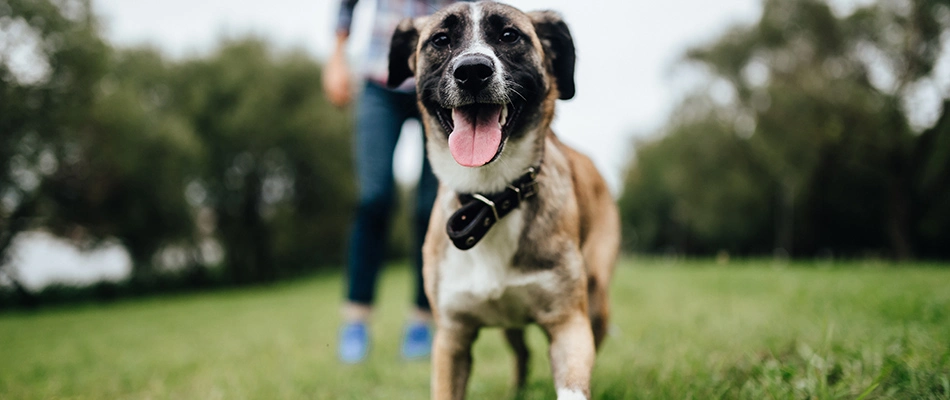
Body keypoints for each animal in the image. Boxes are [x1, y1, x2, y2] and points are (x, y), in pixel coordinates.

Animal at [388, 1, 624, 398]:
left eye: (510, 35)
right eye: (441, 39)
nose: (472, 71)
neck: (491, 198)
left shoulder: (568, 325)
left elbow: (573, 383)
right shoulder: (451, 339)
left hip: (597, 303)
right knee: (522, 353)